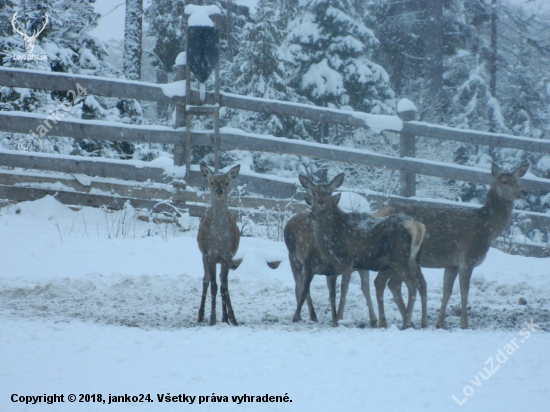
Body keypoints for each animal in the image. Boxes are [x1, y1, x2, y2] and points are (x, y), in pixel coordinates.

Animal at [198, 161, 242, 326]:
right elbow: (214, 286)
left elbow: (223, 287)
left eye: (226, 182)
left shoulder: (227, 256)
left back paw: (233, 318)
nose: (219, 190)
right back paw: (200, 316)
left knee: (225, 283)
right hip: (203, 257)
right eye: (211, 182)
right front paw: (212, 319)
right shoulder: (209, 255)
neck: (219, 240)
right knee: (206, 280)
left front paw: (226, 319)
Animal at [300, 173, 430, 328]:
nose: (311, 213)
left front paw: (338, 319)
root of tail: (418, 227)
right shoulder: (354, 264)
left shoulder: (347, 259)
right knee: (421, 283)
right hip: (413, 259)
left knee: (412, 285)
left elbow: (344, 288)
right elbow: (350, 289)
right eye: (312, 194)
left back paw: (406, 323)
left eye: (327, 194)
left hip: (399, 258)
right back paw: (423, 322)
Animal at [376, 163, 532, 328]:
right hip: (395, 257)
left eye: (519, 180)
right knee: (386, 283)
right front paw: (464, 323)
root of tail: (377, 213)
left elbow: (447, 291)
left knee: (391, 284)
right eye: (504, 181)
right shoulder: (467, 258)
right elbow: (464, 290)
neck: (486, 229)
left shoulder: (452, 264)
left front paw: (439, 323)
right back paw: (387, 322)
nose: (524, 192)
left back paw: (404, 322)